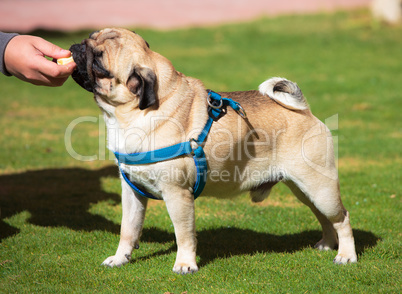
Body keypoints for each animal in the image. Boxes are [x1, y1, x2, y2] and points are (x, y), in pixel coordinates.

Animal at [70, 28, 358, 274]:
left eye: (99, 62)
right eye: (89, 38)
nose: (77, 47)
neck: (130, 116)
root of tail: (305, 110)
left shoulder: (178, 195)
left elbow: (184, 234)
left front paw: (185, 264)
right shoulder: (132, 193)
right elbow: (128, 230)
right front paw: (121, 258)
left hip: (319, 187)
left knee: (342, 218)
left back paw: (346, 255)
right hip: (304, 189)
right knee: (324, 217)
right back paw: (327, 244)